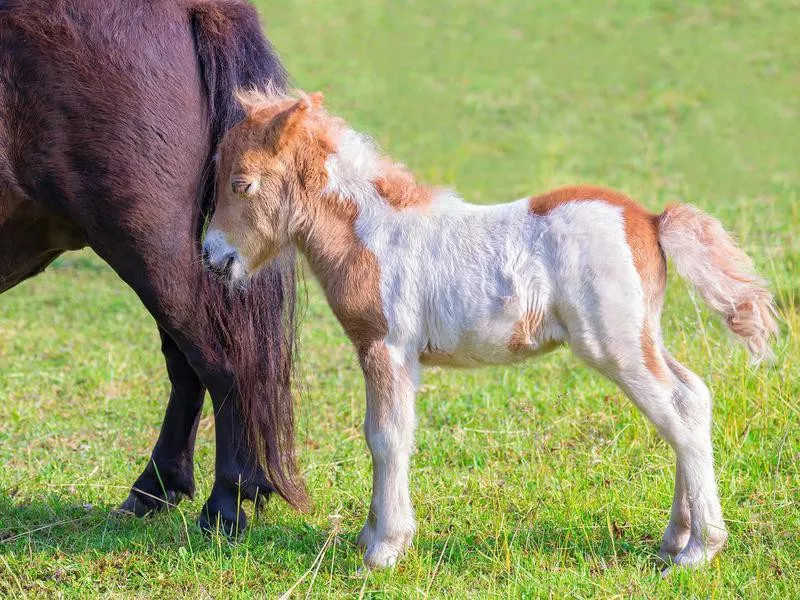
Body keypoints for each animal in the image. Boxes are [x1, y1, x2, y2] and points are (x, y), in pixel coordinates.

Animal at [203, 91, 780, 568]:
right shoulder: (392, 356)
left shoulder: (387, 348)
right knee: (693, 397)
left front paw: (384, 549)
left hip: (614, 347)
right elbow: (385, 434)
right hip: (642, 337)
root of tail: (651, 219)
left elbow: (386, 437)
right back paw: (674, 539)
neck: (370, 234)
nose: (213, 258)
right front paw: (371, 535)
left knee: (679, 418)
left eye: (241, 184)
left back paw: (701, 548)